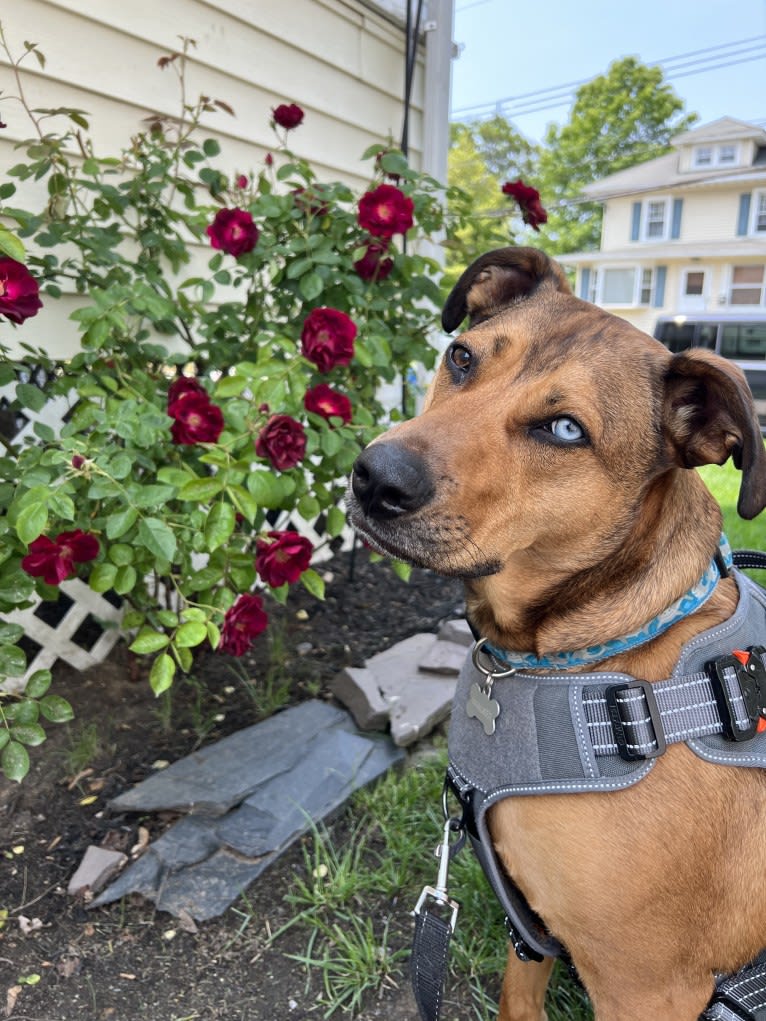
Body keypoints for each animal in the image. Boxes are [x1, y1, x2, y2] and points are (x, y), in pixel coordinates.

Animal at [347, 249, 766, 1021]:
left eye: (566, 430)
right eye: (461, 357)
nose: (373, 477)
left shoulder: (648, 987)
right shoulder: (529, 922)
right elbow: (519, 997)